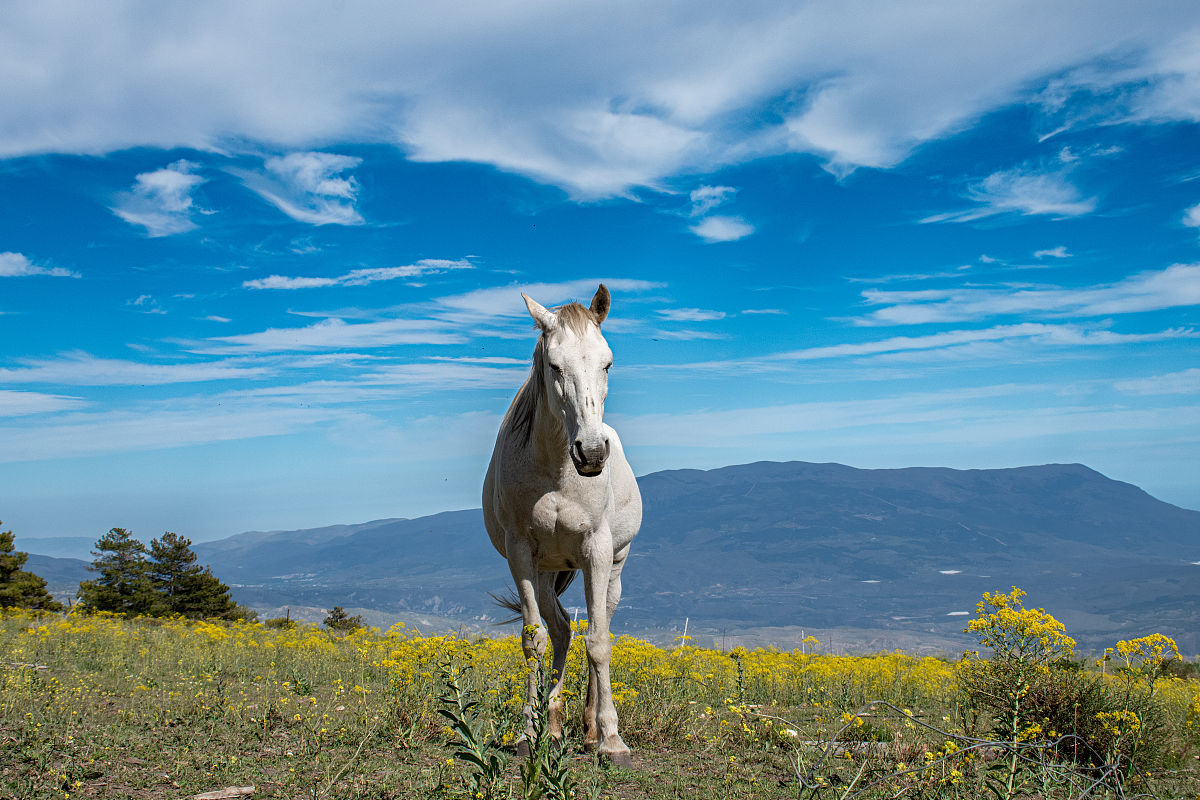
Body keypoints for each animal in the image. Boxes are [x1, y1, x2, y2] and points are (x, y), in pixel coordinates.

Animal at [482, 283, 642, 768]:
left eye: (607, 362)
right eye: (554, 366)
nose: (590, 452)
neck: (555, 471)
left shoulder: (597, 550)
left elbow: (599, 642)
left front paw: (612, 740)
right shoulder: (521, 554)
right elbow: (534, 640)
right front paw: (528, 732)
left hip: (613, 568)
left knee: (594, 628)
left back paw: (590, 731)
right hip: (546, 569)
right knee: (560, 631)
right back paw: (553, 727)